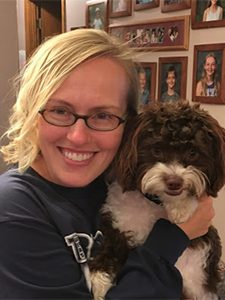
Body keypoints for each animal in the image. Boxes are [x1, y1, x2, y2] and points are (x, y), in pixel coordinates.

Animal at [88, 101, 225, 300]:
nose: (174, 182)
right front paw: (99, 280)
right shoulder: (117, 227)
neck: (153, 202)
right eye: (157, 150)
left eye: (193, 153)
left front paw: (181, 209)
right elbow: (109, 249)